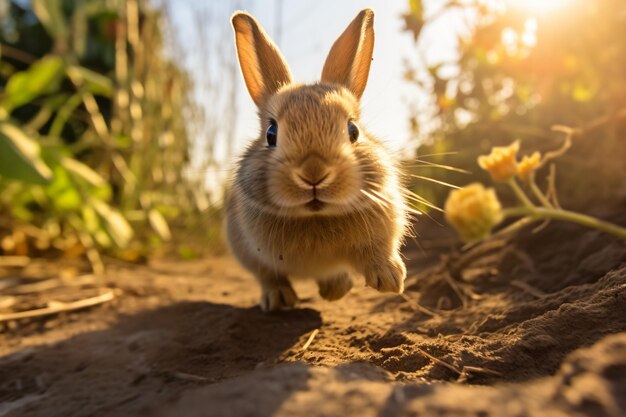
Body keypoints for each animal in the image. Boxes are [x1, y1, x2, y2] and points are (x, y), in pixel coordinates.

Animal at [227, 8, 408, 310]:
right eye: (271, 134)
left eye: (353, 131)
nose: (314, 172)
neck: (316, 216)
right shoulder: (250, 251)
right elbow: (268, 274)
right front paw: (278, 299)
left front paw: (390, 279)